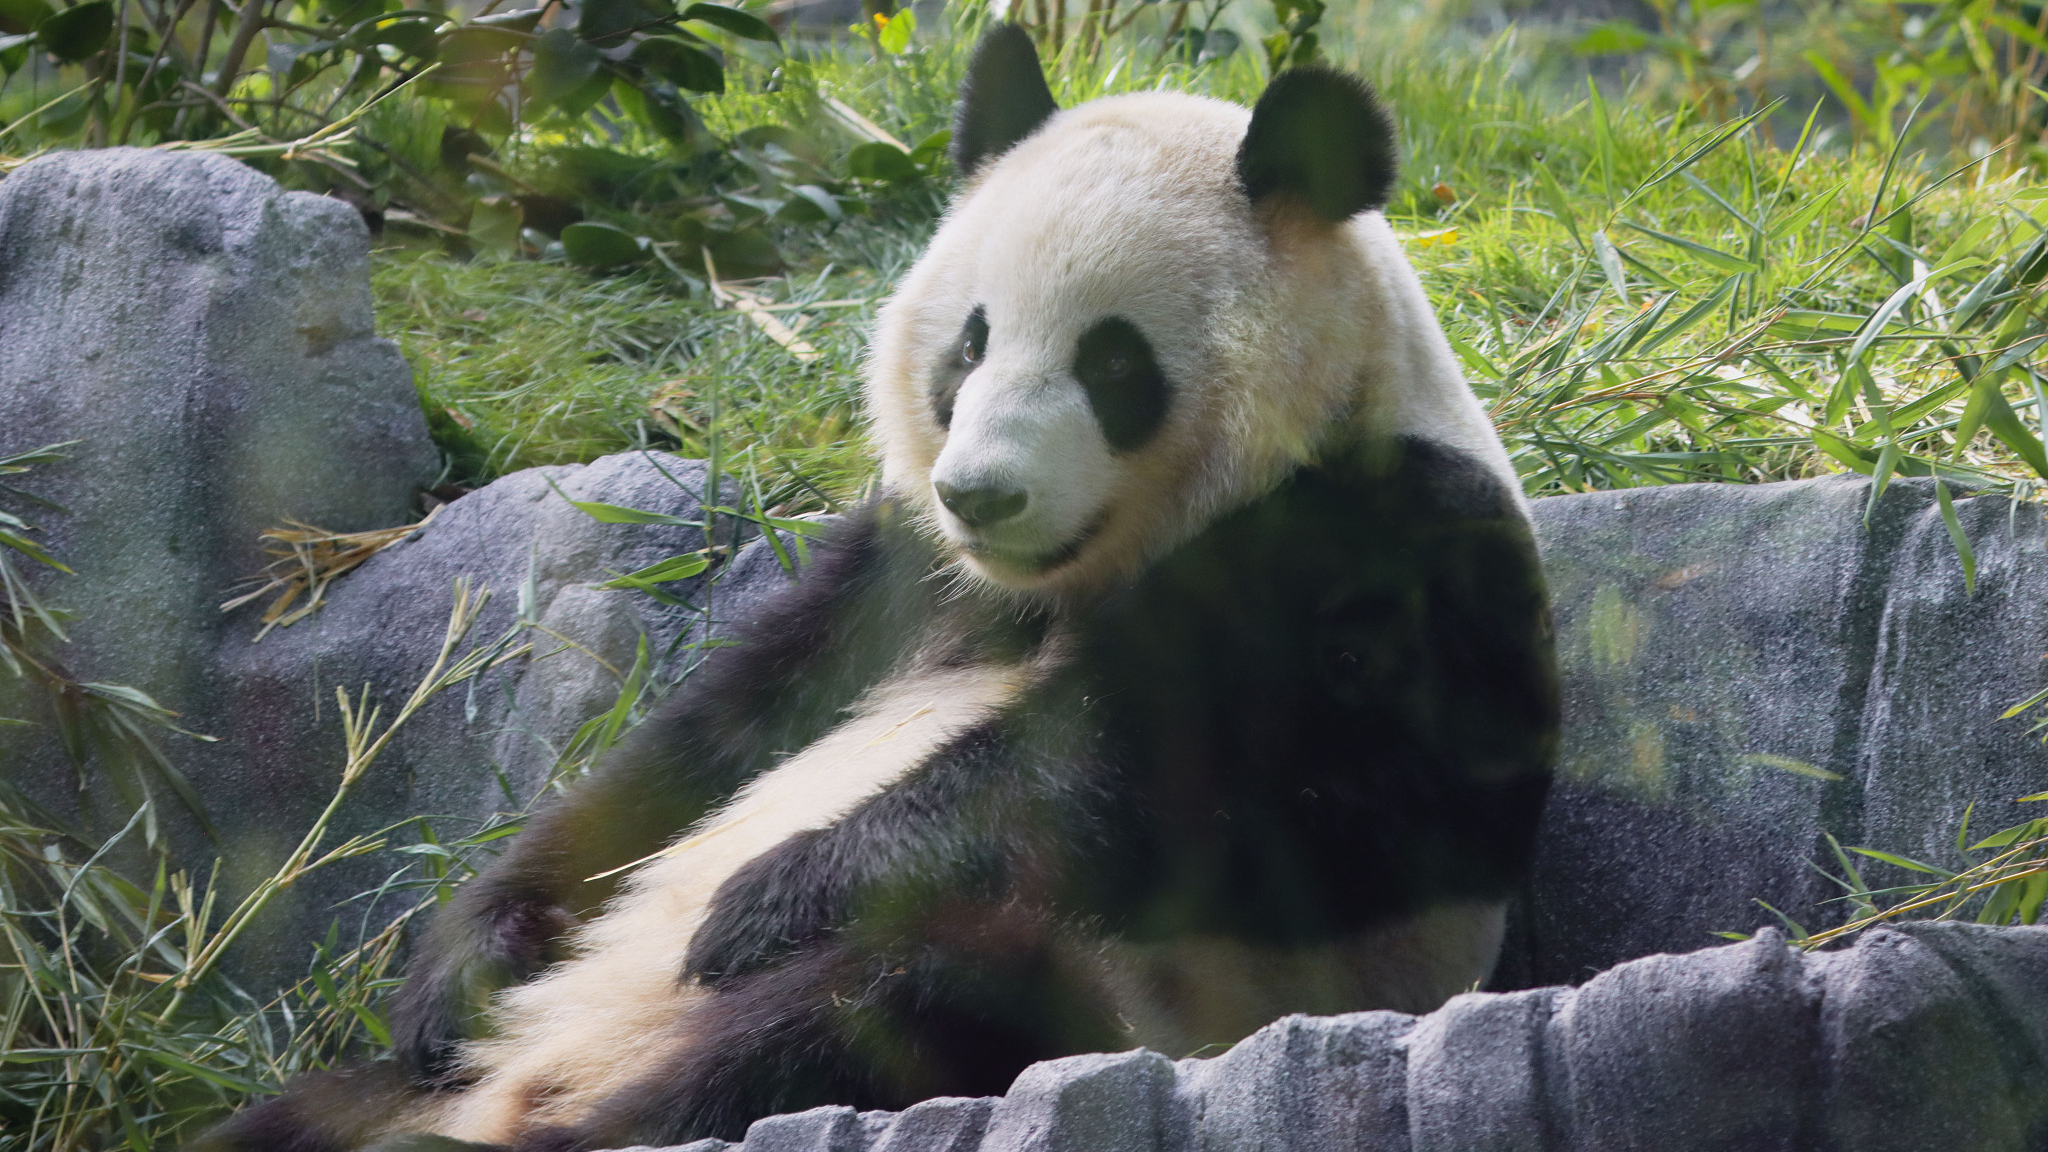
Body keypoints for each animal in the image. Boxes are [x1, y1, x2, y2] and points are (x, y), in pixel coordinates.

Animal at [199, 24, 1556, 1147]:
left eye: (1113, 363)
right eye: (970, 342)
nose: (982, 495)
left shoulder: (1397, 546)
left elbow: (1214, 781)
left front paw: (767, 897)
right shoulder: (900, 576)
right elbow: (703, 743)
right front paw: (469, 957)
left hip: (1111, 998)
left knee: (875, 1006)